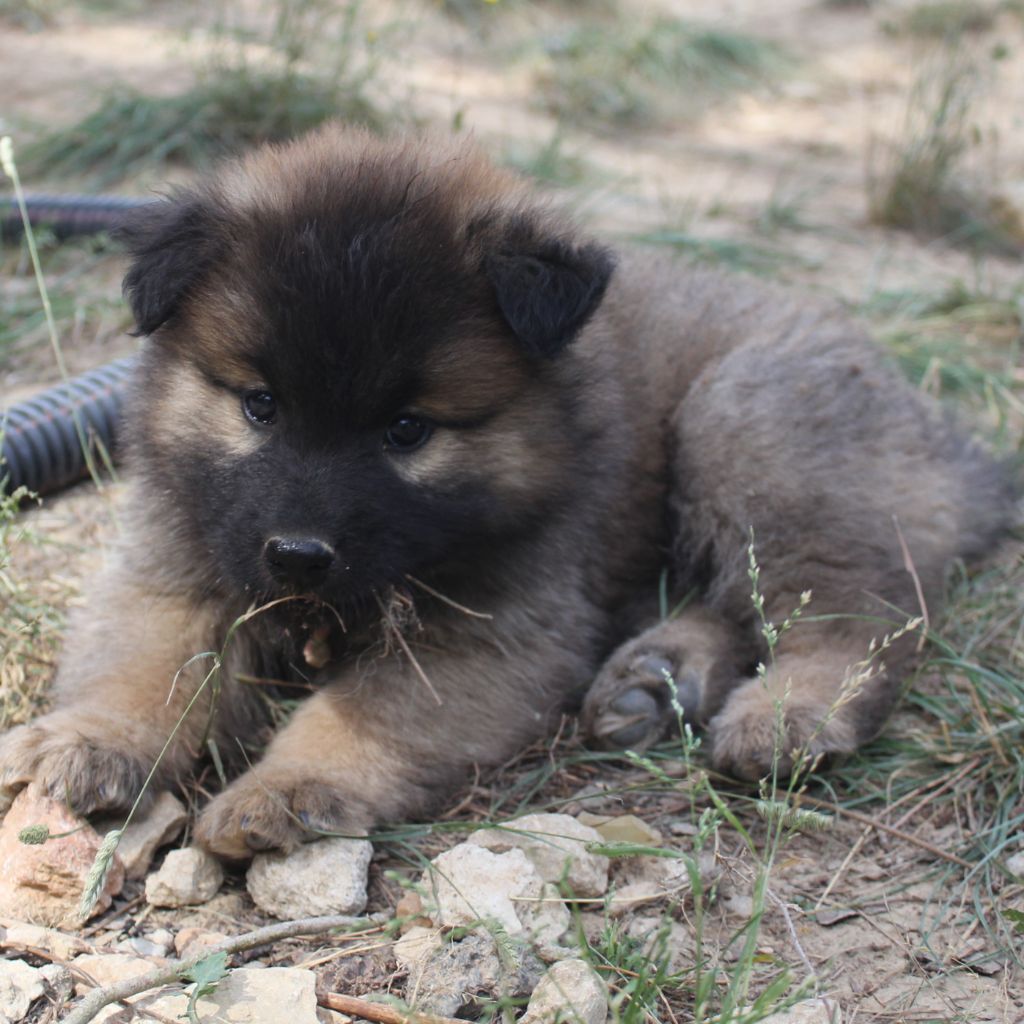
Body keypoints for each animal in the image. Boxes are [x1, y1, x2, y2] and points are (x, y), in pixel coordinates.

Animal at [0, 128, 1013, 858]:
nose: (297, 555)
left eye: (408, 429)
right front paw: (95, 736)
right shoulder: (178, 557)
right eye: (259, 404)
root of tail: (951, 443)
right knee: (736, 601)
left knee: (858, 614)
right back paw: (657, 679)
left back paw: (786, 712)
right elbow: (145, 656)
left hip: (751, 420)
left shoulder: (490, 636)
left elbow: (363, 712)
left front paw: (285, 788)